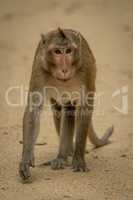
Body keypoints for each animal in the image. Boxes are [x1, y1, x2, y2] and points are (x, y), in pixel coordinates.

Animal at [19, 27, 114, 181]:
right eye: (57, 52)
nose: (64, 69)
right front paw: (26, 159)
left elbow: (84, 108)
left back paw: (65, 155)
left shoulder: (85, 70)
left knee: (69, 109)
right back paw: (64, 156)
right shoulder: (40, 69)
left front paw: (79, 159)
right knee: (59, 110)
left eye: (68, 51)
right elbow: (33, 111)